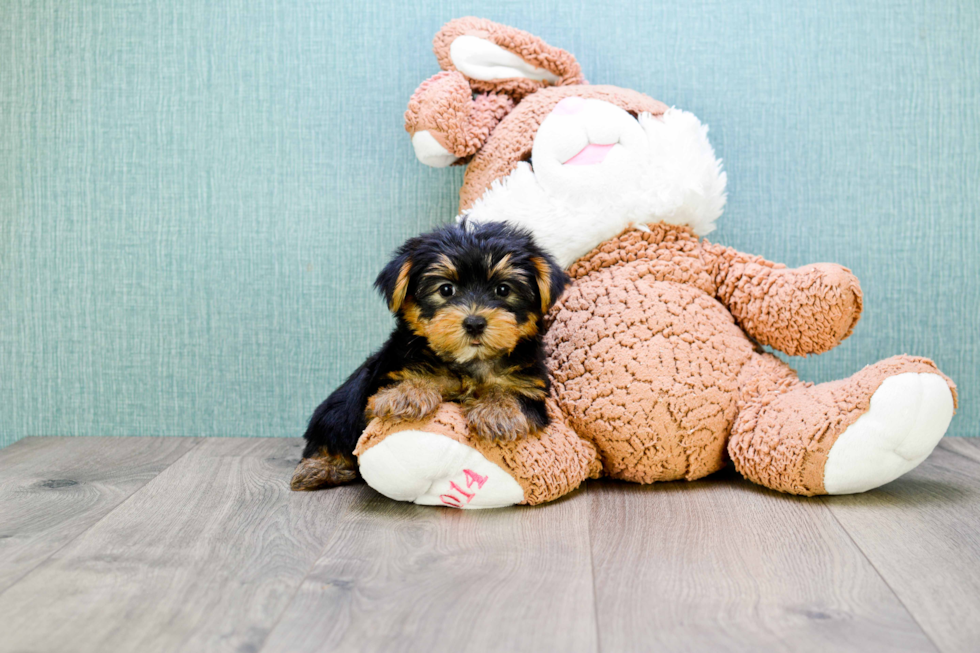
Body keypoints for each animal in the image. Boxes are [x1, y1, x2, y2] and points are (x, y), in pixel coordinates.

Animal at [290, 219, 568, 488]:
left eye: (503, 289)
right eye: (446, 290)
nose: (474, 323)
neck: (468, 363)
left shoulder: (530, 386)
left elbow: (514, 394)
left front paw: (498, 411)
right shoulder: (383, 382)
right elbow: (384, 398)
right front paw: (408, 393)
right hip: (334, 412)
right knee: (331, 431)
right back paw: (322, 468)